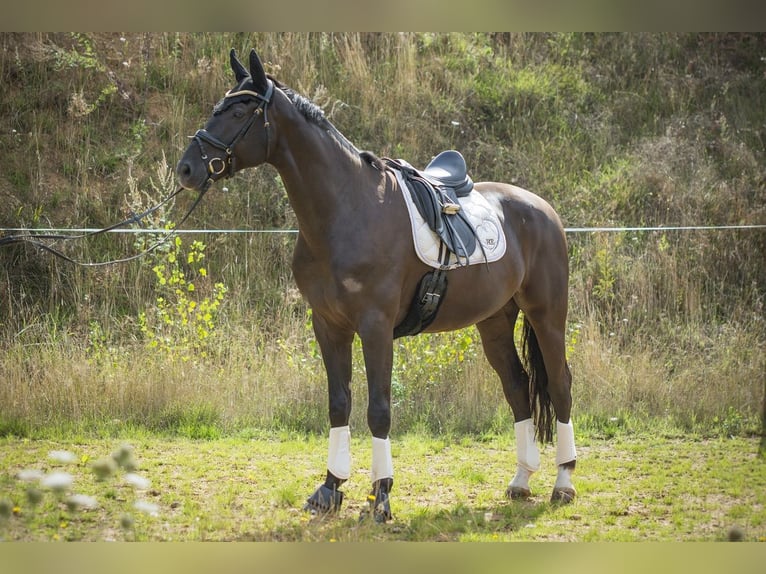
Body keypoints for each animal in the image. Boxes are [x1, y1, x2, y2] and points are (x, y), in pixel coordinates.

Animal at [176, 48, 577, 522]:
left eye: (239, 111)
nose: (186, 168)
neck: (346, 210)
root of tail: (544, 209)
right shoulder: (328, 326)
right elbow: (339, 403)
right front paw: (330, 488)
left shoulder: (375, 327)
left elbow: (379, 409)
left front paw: (381, 494)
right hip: (494, 321)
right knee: (517, 386)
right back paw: (521, 479)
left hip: (547, 315)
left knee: (560, 383)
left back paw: (563, 482)